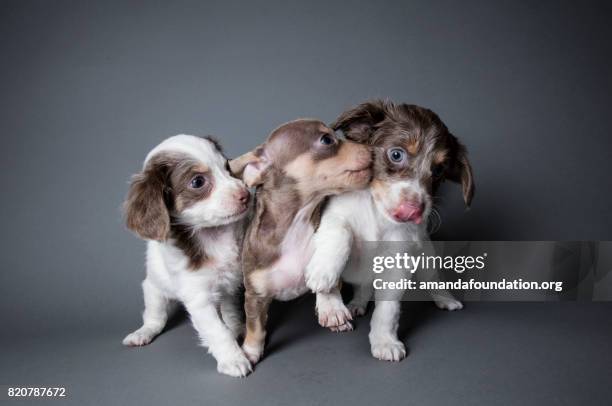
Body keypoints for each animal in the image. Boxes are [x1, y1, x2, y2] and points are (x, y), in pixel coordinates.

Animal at [123, 134, 252, 378]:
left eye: (227, 167)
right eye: (198, 182)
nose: (246, 194)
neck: (214, 235)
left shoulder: (229, 286)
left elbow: (230, 316)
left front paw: (236, 330)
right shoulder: (199, 298)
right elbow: (217, 331)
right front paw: (233, 359)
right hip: (153, 290)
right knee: (155, 317)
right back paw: (143, 333)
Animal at [230, 118, 372, 364]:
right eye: (327, 140)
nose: (373, 149)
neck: (295, 225)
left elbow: (327, 276)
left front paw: (331, 309)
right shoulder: (255, 296)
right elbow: (256, 327)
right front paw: (249, 351)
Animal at [304, 101, 474, 362]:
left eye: (438, 171)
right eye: (396, 155)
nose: (413, 211)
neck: (377, 213)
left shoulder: (398, 264)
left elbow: (388, 308)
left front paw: (385, 341)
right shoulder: (331, 216)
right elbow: (340, 235)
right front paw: (325, 278)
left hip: (426, 257)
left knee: (433, 280)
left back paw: (446, 300)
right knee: (363, 284)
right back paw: (356, 303)